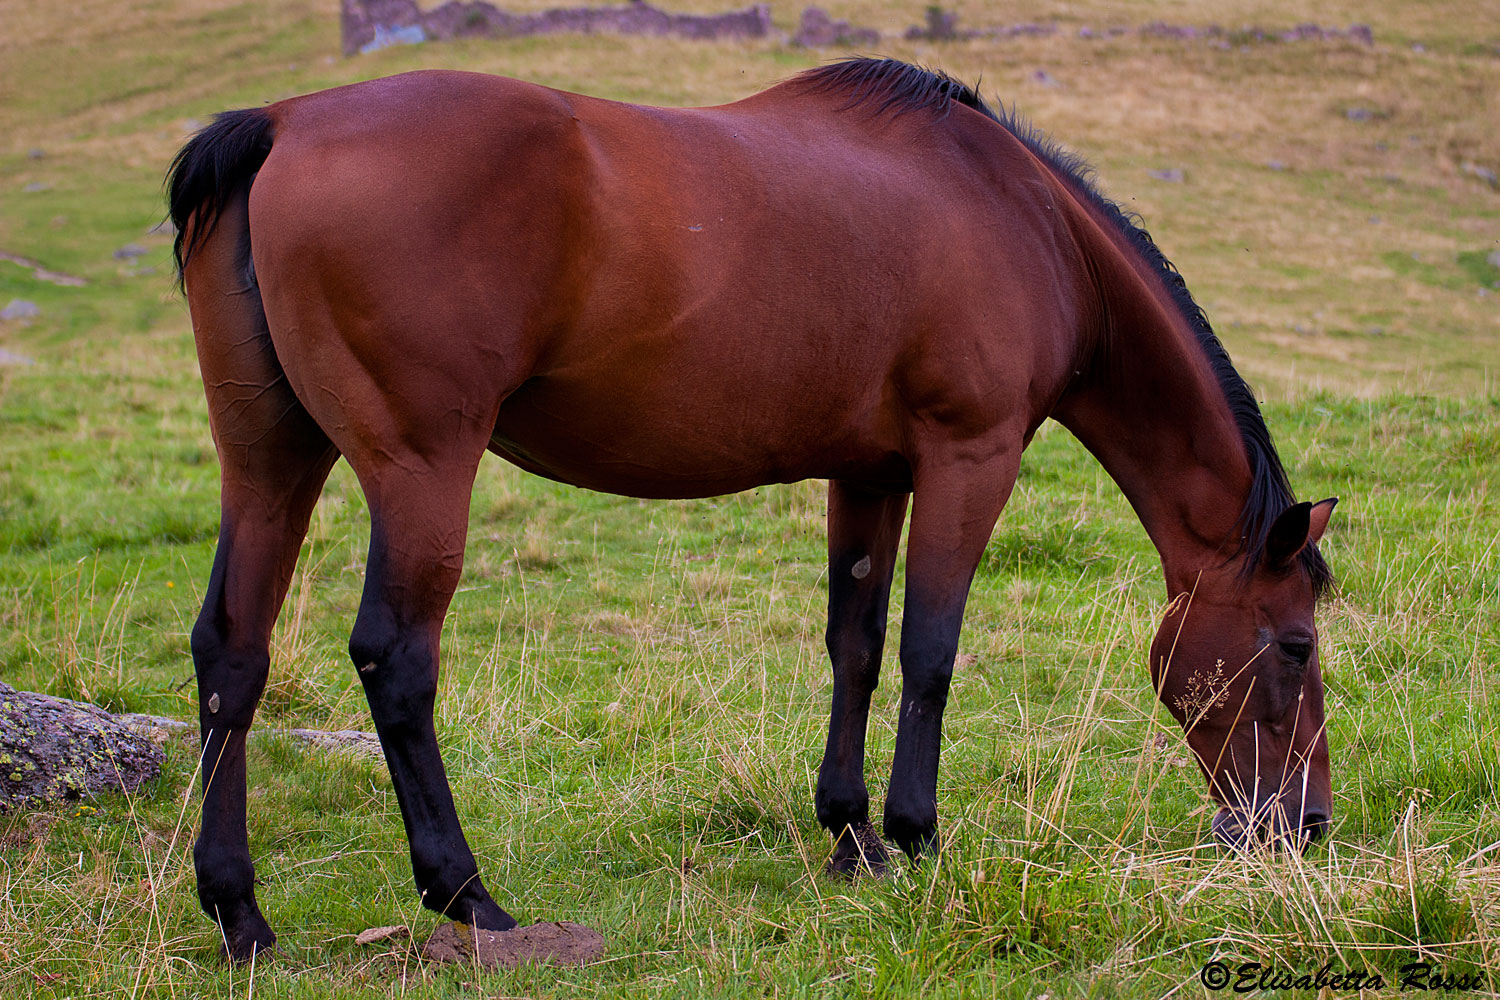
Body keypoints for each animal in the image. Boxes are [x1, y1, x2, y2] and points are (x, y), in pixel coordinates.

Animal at [167, 57, 1337, 960]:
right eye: (1294, 644)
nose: (1306, 824)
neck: (1025, 218)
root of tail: (279, 124)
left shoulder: (871, 472)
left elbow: (856, 645)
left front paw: (852, 837)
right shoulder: (971, 456)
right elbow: (930, 650)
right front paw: (918, 836)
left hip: (269, 459)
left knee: (233, 651)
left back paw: (241, 914)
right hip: (420, 468)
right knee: (396, 658)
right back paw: (468, 894)